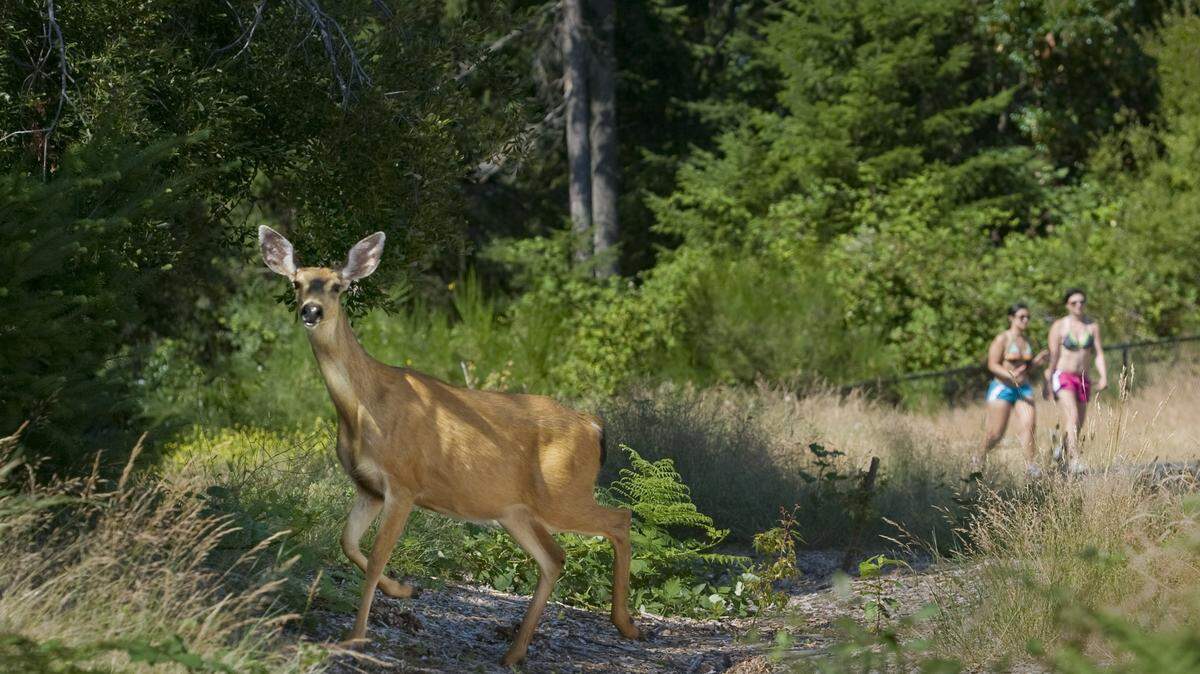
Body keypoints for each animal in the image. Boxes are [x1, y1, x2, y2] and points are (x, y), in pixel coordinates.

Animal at [257, 226, 641, 665]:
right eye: (297, 282)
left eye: (338, 286)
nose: (311, 311)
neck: (363, 408)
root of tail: (594, 426)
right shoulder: (368, 487)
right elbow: (348, 542)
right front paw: (403, 590)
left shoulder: (403, 483)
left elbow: (376, 556)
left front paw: (355, 637)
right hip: (515, 511)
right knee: (554, 557)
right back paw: (513, 653)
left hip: (563, 494)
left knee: (620, 517)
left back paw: (625, 624)